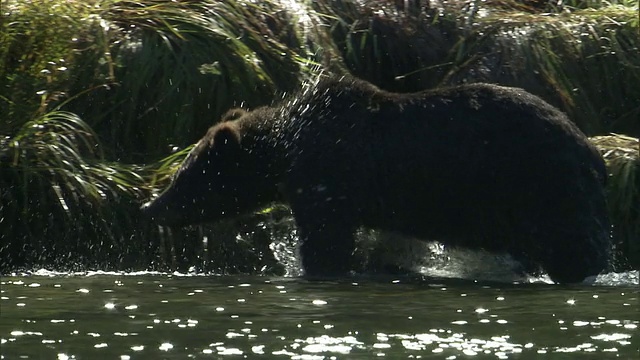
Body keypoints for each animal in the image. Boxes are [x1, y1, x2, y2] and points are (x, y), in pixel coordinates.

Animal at [142, 76, 612, 284]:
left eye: (186, 173)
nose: (151, 206)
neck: (286, 147)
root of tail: (592, 150)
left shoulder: (329, 177)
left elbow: (326, 239)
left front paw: (317, 268)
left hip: (540, 181)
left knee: (571, 244)